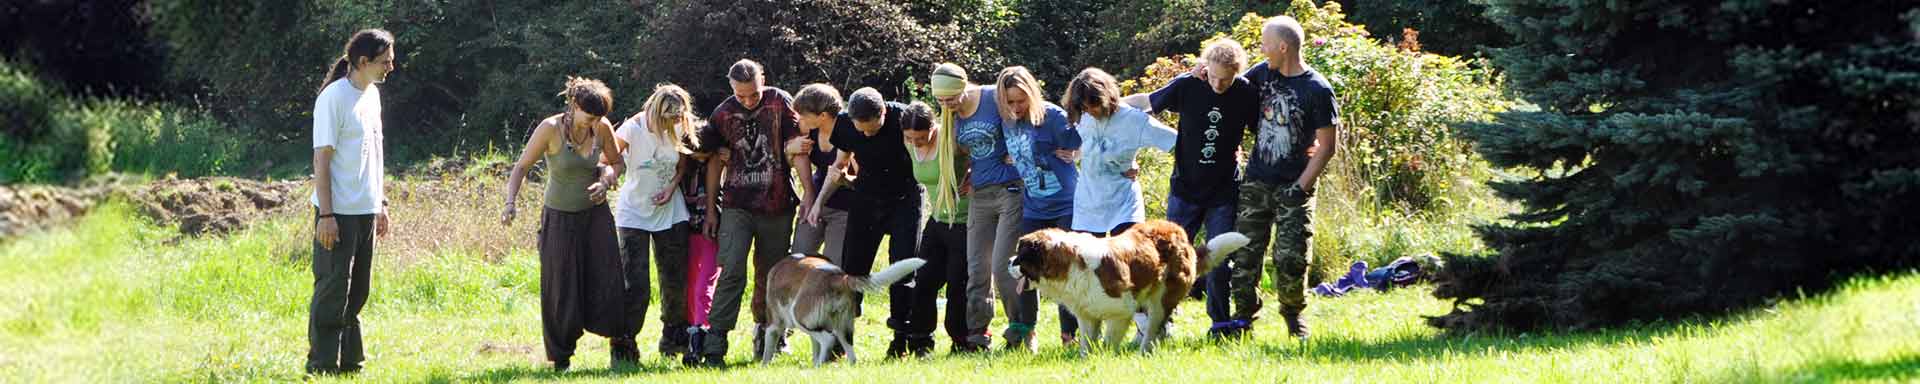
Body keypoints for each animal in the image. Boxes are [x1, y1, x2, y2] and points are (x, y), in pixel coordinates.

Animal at [756, 253, 921, 366]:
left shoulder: (773, 326)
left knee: (828, 339)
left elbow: (767, 352)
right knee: (851, 355)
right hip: (844, 328)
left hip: (799, 317)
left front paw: (764, 367)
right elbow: (815, 348)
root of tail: (839, 278)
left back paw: (819, 367)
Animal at [1013, 218, 1251, 353]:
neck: (1069, 264)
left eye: (1020, 257)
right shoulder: (1088, 315)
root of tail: (1178, 231)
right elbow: (1087, 344)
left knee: (1153, 327)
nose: (1008, 262)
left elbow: (1109, 343)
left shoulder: (1120, 312)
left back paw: (1145, 351)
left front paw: (1106, 358)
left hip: (1162, 300)